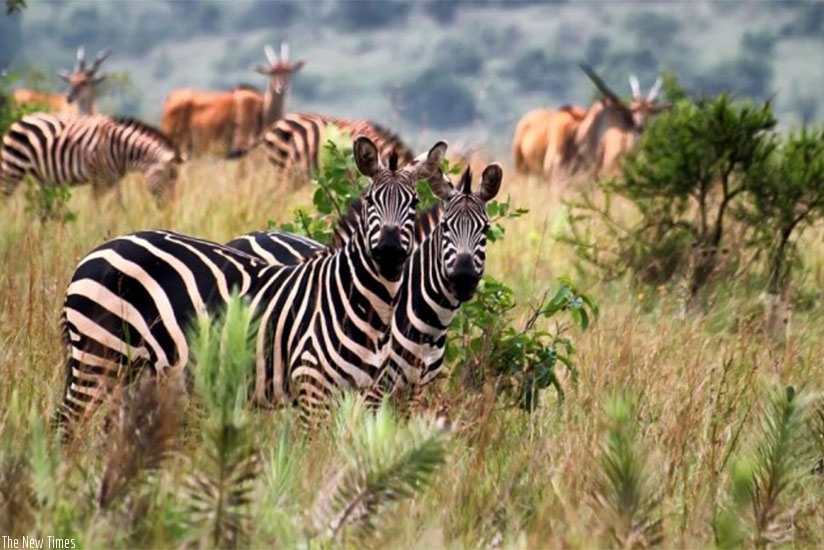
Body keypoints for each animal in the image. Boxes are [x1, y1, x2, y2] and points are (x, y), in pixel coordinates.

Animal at [1, 113, 184, 206]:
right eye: (168, 180)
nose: (170, 209)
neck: (120, 147)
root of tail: (21, 119)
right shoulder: (100, 178)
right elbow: (98, 205)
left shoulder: (113, 178)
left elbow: (119, 203)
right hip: (13, 168)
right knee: (5, 198)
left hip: (40, 177)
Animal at [56, 137, 449, 435]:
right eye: (369, 201)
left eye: (414, 202)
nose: (388, 251)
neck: (363, 304)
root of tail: (96, 251)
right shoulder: (313, 386)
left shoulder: (362, 394)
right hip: (99, 353)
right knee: (66, 424)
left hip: (131, 369)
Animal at [226, 162, 503, 406]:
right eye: (445, 227)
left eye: (485, 230)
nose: (464, 279)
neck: (430, 326)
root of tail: (246, 236)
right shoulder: (373, 388)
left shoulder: (414, 391)